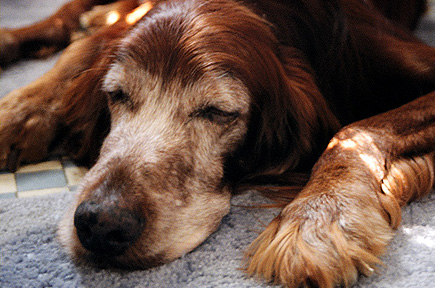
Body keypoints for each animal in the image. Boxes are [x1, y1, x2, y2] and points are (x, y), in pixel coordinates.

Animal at [0, 0, 434, 288]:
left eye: (217, 112)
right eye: (117, 95)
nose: (101, 224)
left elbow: (356, 131)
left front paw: (319, 219)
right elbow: (82, 54)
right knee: (70, 22)